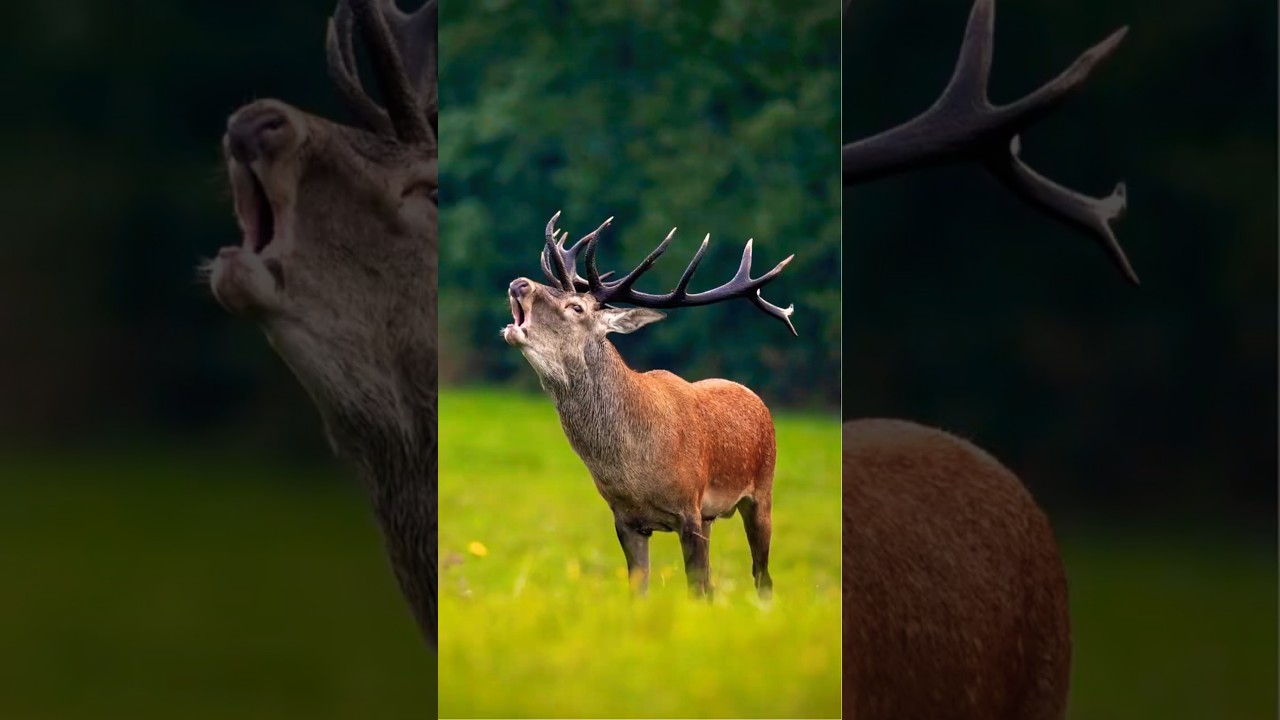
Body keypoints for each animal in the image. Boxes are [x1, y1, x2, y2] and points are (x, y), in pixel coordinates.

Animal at [501, 212, 796, 599]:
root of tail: (754, 396)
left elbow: (694, 588)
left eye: (576, 307)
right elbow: (640, 590)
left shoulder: (689, 509)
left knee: (762, 576)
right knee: (716, 584)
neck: (635, 468)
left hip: (762, 490)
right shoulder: (626, 519)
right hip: (711, 515)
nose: (519, 283)